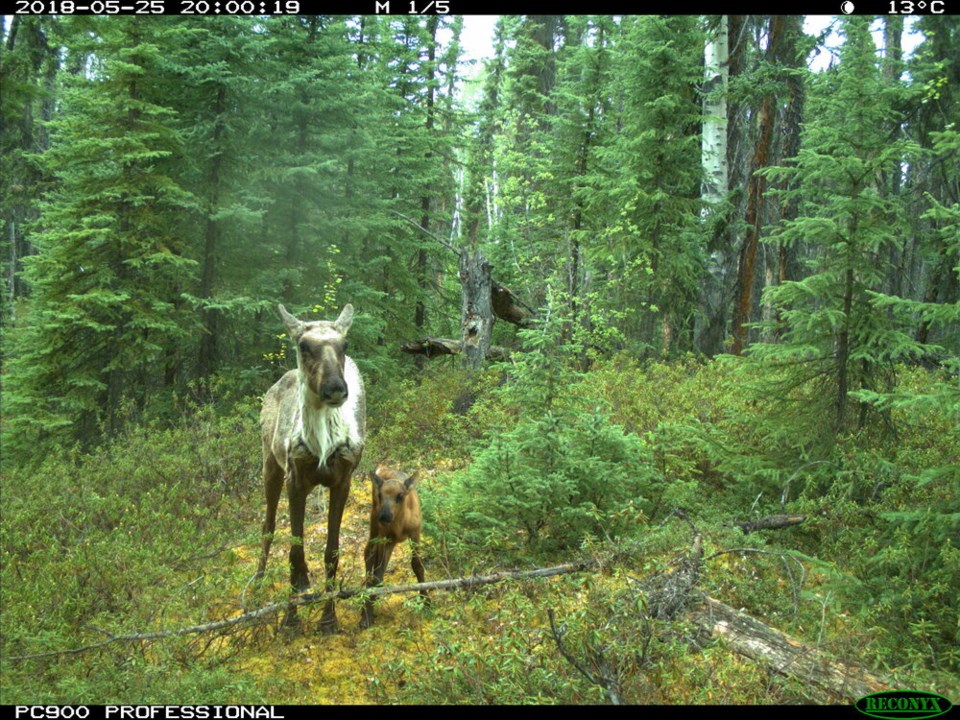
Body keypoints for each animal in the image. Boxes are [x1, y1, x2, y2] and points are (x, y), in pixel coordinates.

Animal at [360, 464, 428, 628]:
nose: (384, 516)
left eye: (400, 496)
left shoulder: (415, 530)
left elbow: (417, 564)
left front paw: (426, 600)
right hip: (374, 524)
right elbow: (377, 574)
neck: (400, 525)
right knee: (369, 553)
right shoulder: (384, 535)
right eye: (380, 495)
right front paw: (367, 616)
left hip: (389, 540)